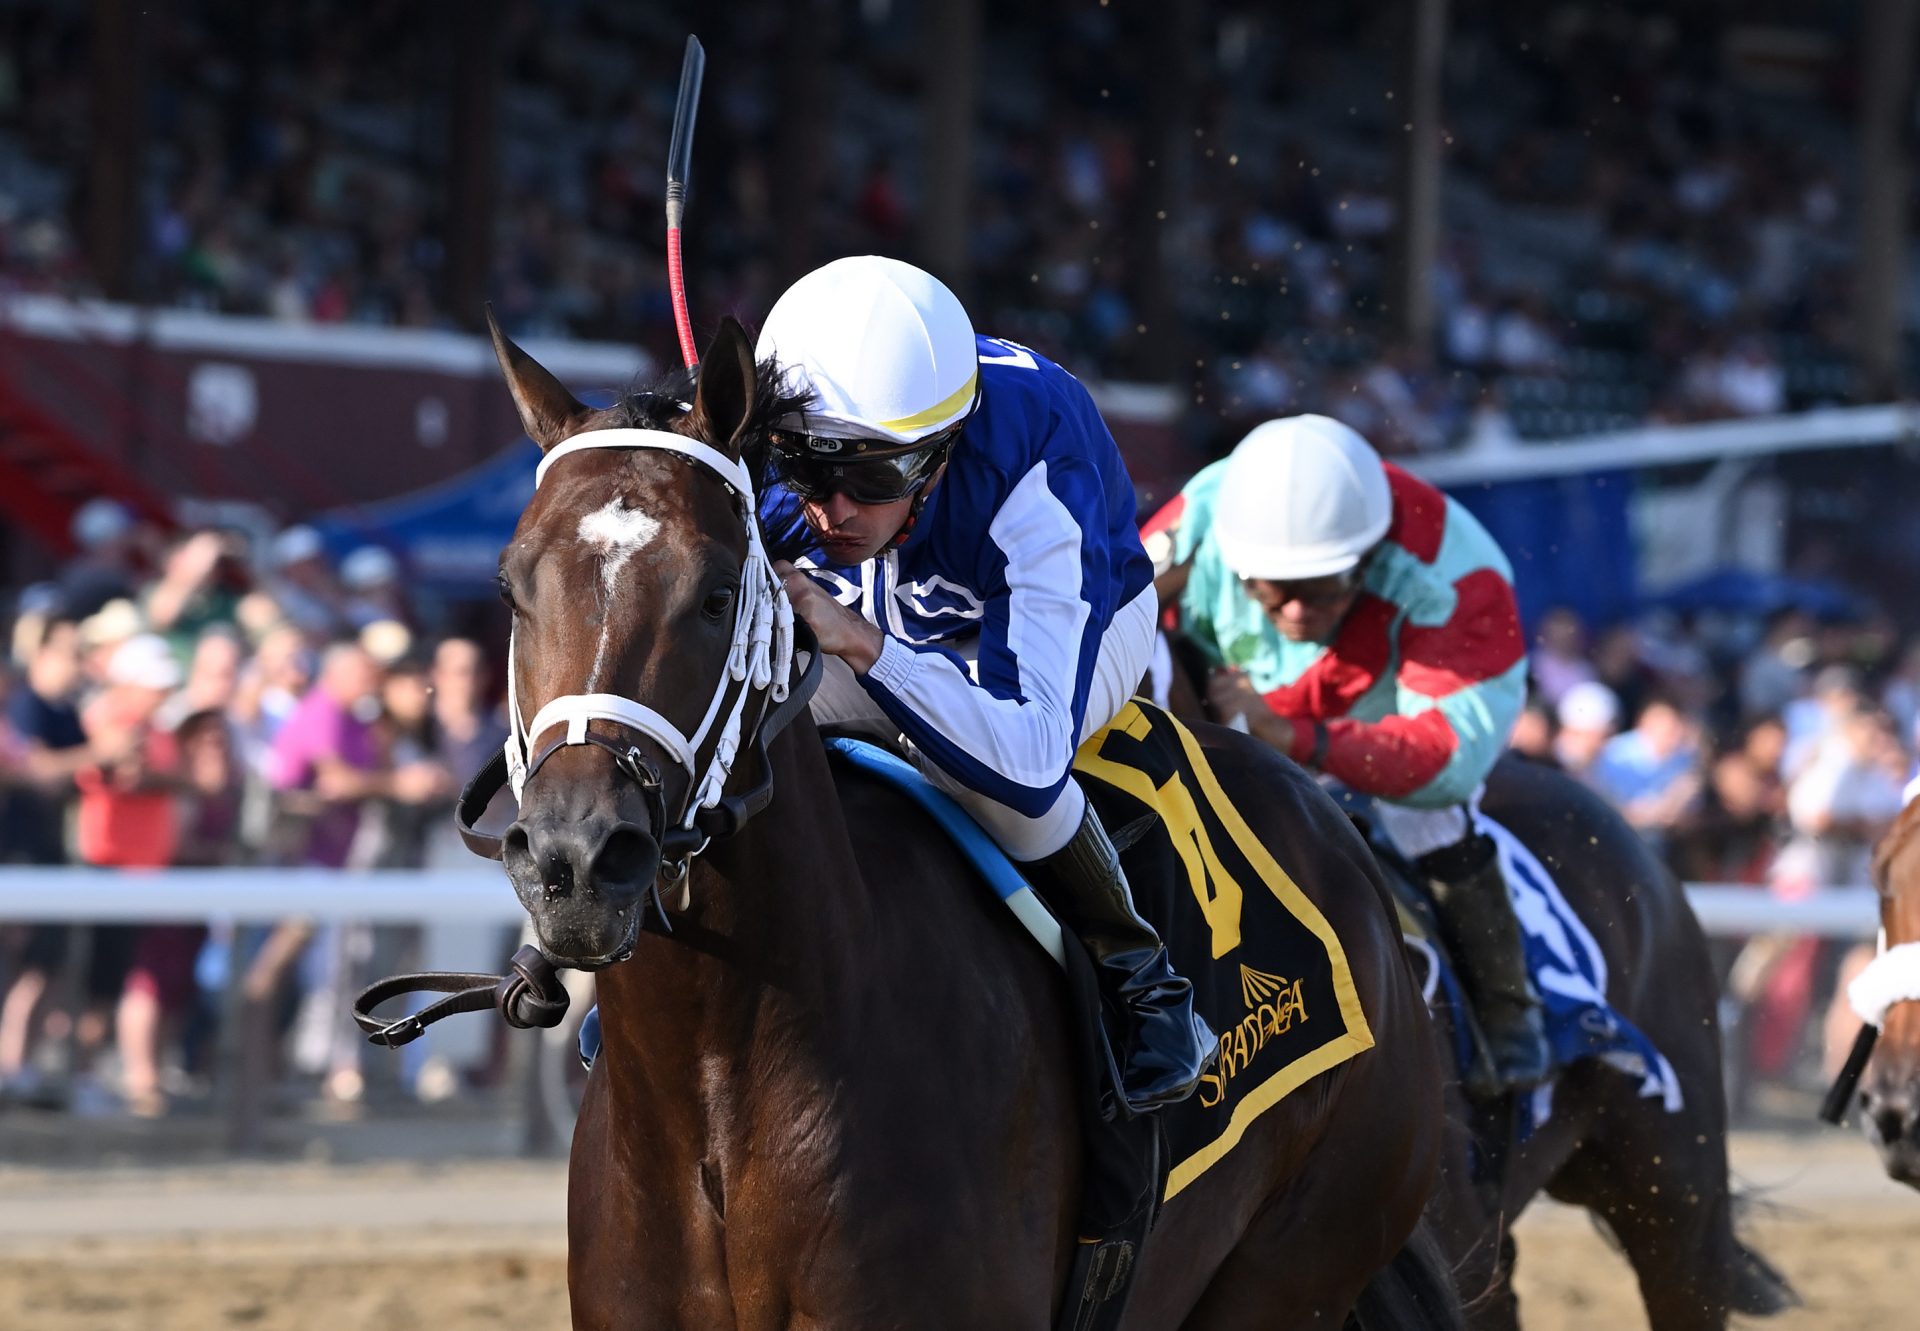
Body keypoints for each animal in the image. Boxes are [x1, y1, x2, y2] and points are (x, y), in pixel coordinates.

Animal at [487, 316, 1459, 1321]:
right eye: (512, 588)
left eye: (718, 593)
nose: (577, 856)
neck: (717, 1091)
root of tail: (1340, 835)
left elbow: (1025, 763)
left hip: (1296, 1259)